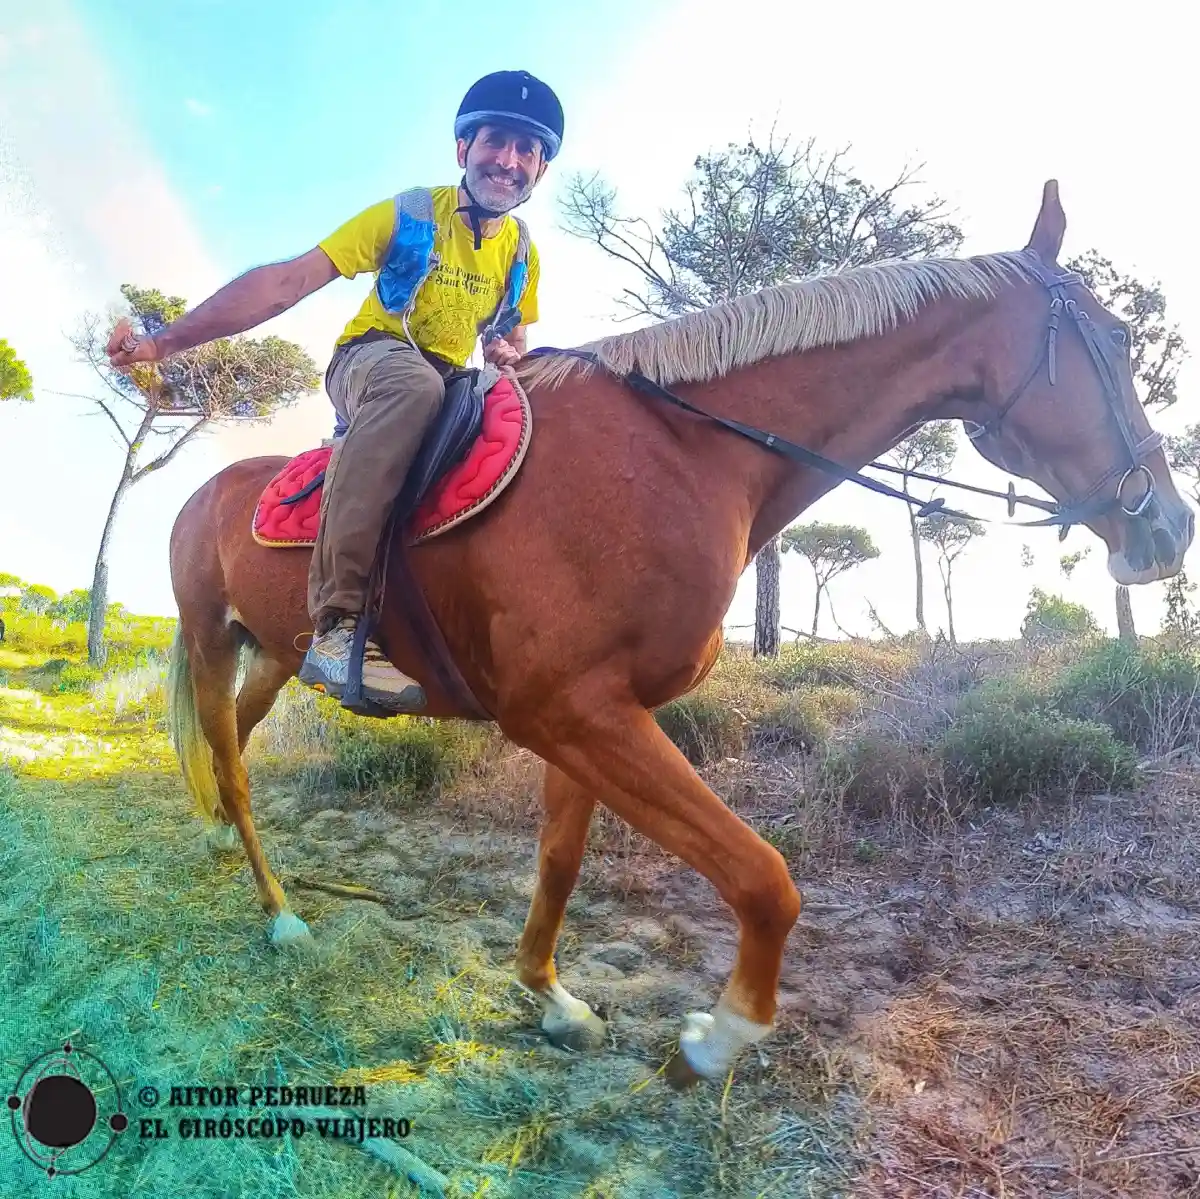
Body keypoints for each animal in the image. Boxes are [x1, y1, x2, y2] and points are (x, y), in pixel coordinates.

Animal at [164, 181, 1193, 1088]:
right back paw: (280, 911)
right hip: (214, 643)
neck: (684, 452)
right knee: (234, 765)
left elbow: (560, 861)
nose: (1170, 527)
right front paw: (721, 1034)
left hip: (275, 654)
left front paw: (552, 999)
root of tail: (202, 491)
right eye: (1115, 337)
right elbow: (765, 878)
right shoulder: (572, 711)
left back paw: (223, 844)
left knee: (232, 750)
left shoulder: (588, 717)